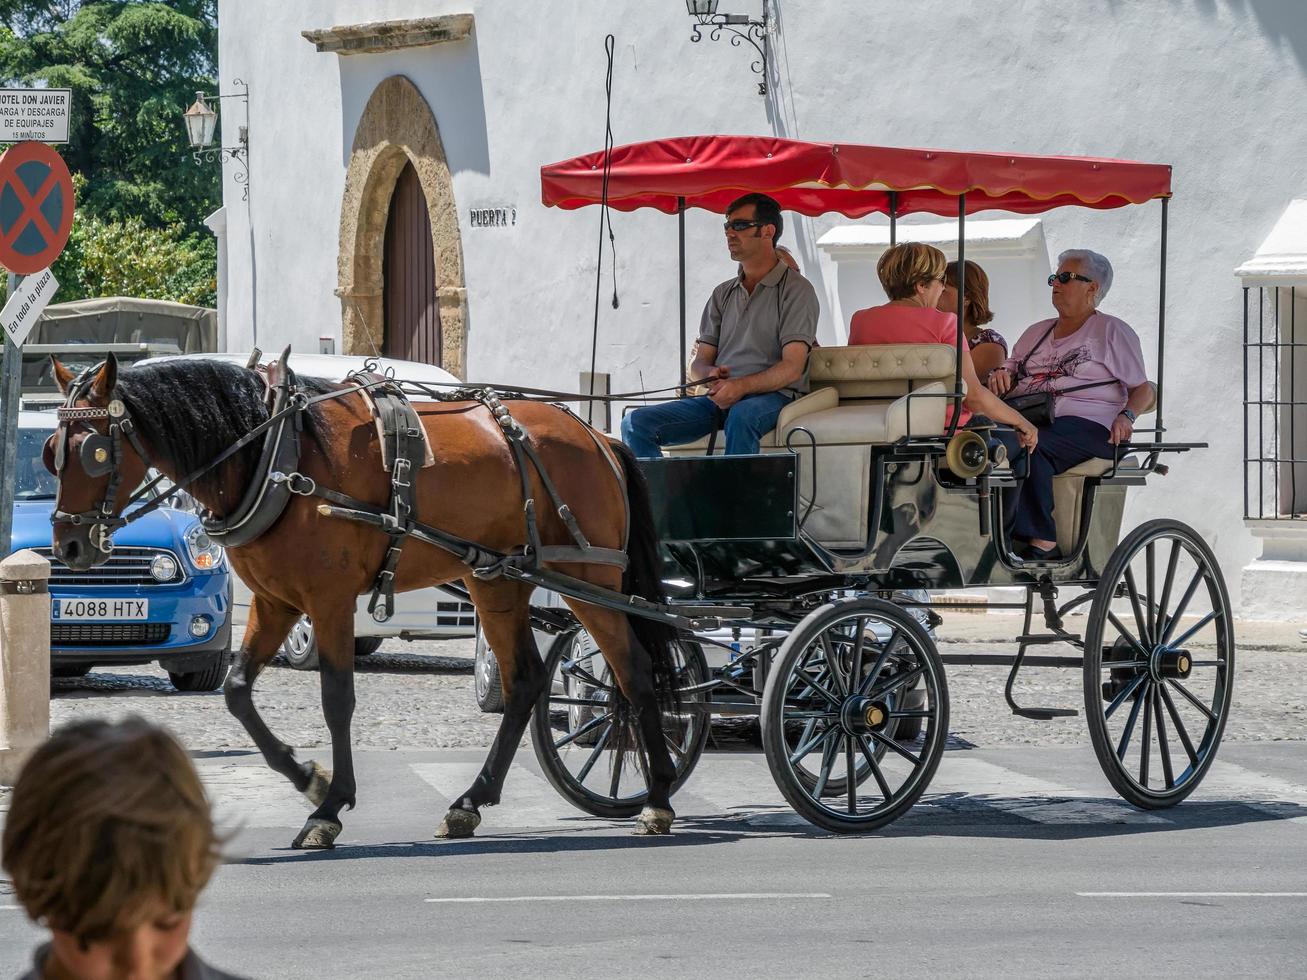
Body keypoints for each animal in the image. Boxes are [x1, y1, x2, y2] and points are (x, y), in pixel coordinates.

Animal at [46, 355, 679, 851]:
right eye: (55, 451)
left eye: (95, 451)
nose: (69, 546)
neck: (276, 456)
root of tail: (598, 436)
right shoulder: (276, 603)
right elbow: (237, 692)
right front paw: (309, 777)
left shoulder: (327, 601)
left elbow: (336, 699)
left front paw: (328, 807)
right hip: (497, 580)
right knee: (524, 680)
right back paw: (471, 801)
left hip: (589, 575)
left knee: (633, 671)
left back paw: (659, 798)